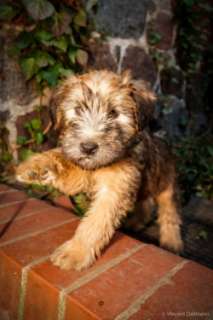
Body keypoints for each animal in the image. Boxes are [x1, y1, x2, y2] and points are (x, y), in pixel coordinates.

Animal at [16, 70, 183, 270]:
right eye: (78, 109)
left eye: (114, 113)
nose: (88, 147)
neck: (98, 166)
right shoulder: (82, 171)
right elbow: (63, 162)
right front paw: (36, 167)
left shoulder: (114, 190)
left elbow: (95, 222)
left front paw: (75, 253)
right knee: (145, 205)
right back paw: (135, 223)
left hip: (167, 185)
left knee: (169, 214)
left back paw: (171, 242)